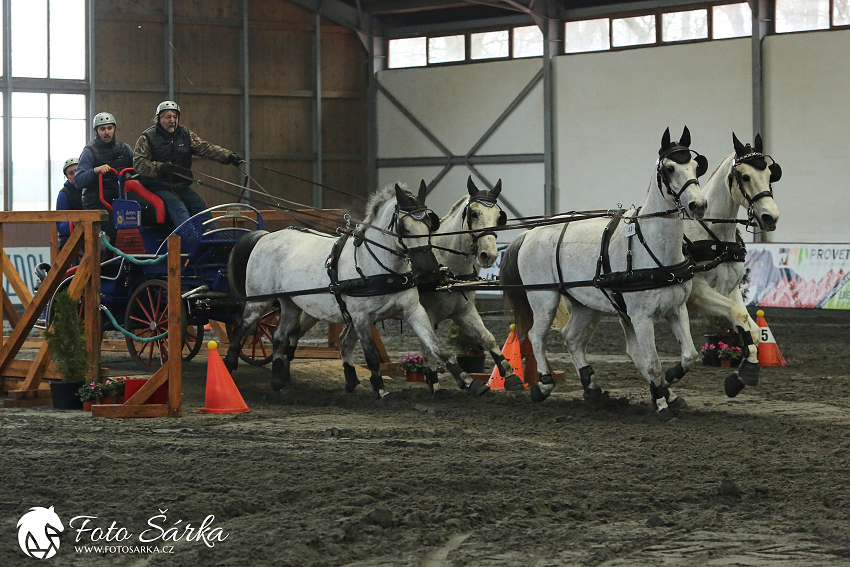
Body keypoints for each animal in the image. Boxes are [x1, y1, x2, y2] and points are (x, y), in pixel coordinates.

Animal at [225, 184, 490, 398]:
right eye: (404, 227)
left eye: (429, 224)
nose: (429, 271)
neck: (381, 268)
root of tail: (266, 236)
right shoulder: (362, 318)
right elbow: (371, 355)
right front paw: (381, 389)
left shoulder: (414, 310)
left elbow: (437, 347)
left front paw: (470, 382)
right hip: (259, 301)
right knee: (242, 327)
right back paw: (229, 364)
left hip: (291, 303)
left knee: (281, 337)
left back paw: (280, 383)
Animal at [500, 127, 704, 422]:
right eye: (669, 168)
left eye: (697, 166)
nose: (698, 205)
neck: (651, 247)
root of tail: (531, 232)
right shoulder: (640, 317)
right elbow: (652, 363)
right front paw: (662, 403)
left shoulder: (676, 309)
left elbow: (689, 355)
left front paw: (668, 387)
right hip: (544, 298)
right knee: (536, 336)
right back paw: (544, 385)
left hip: (585, 304)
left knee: (572, 339)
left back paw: (593, 388)